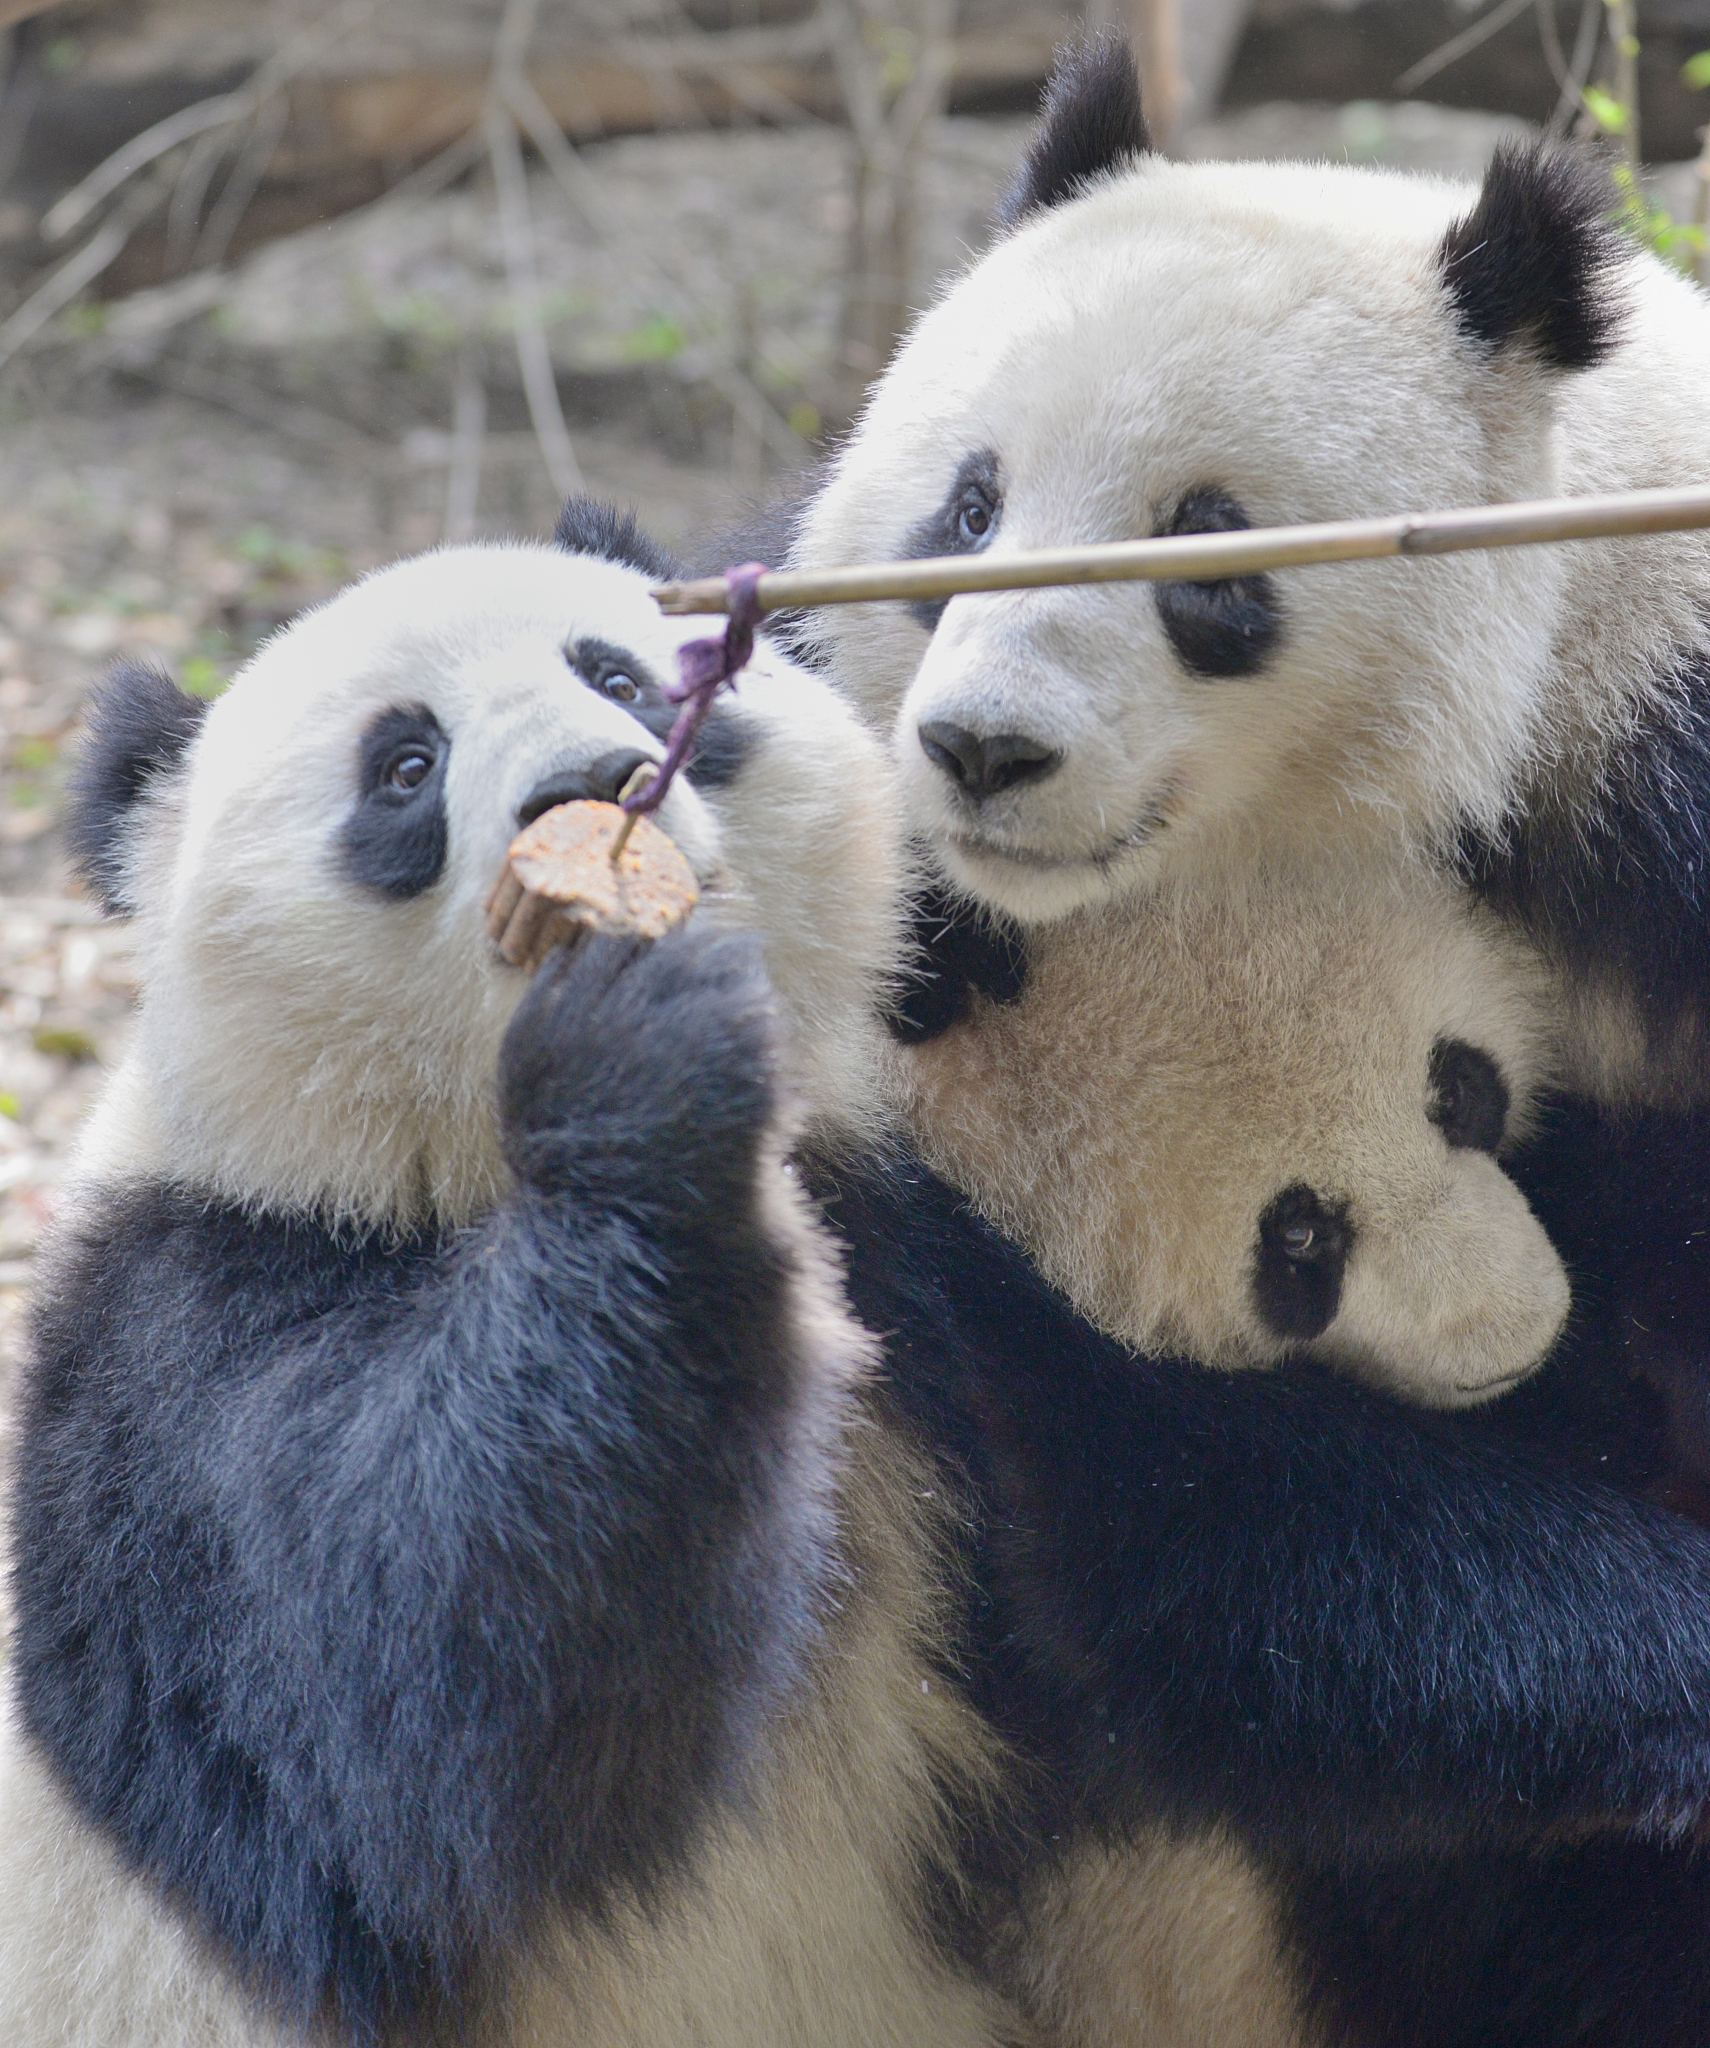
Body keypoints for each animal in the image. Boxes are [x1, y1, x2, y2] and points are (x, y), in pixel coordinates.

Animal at [16, 499, 1710, 2048]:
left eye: (620, 674)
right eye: (404, 768)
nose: (589, 790)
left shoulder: (912, 1306)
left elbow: (1230, 1580)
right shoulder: (197, 1343)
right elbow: (435, 1724)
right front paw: (635, 1062)